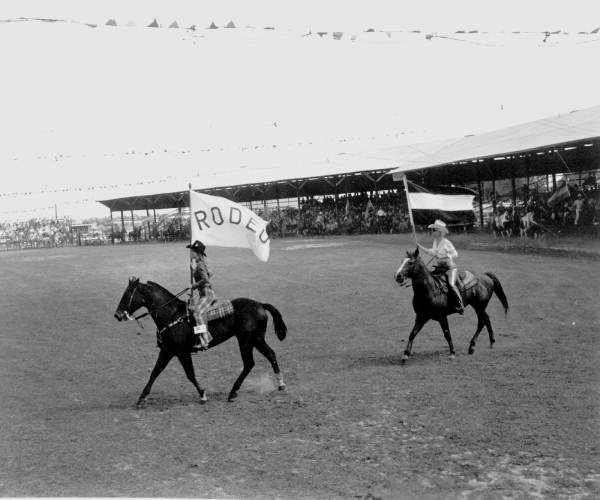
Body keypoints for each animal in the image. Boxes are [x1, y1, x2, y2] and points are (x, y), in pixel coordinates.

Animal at [114, 280, 288, 404]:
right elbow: (155, 372)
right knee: (271, 355)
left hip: (246, 341)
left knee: (249, 363)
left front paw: (203, 394)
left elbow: (190, 374)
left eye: (127, 294)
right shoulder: (167, 351)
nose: (117, 315)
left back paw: (233, 392)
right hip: (257, 340)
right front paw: (141, 397)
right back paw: (281, 384)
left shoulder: (182, 353)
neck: (172, 315)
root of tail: (260, 304)